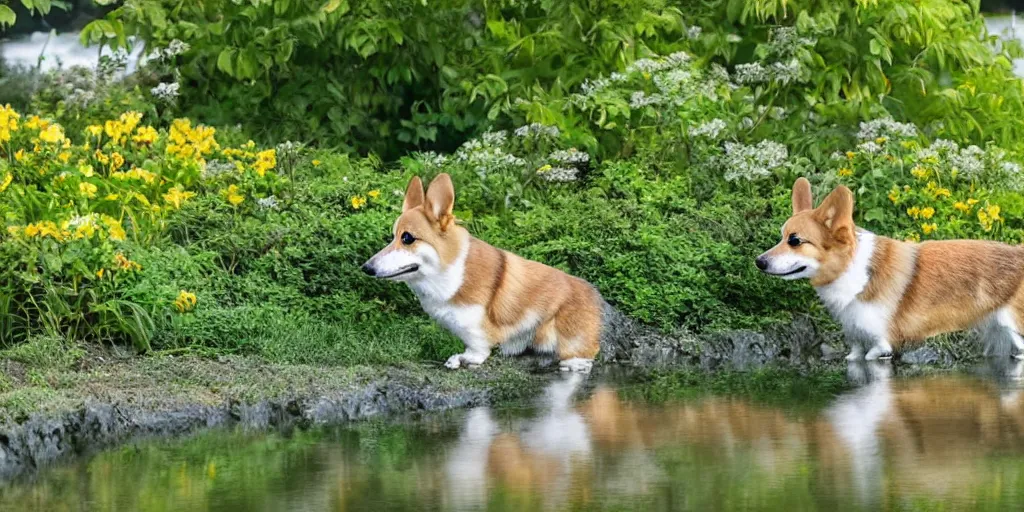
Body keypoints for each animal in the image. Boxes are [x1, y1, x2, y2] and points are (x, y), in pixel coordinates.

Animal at [362, 174, 598, 370]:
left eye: (407, 238)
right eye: (393, 236)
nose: (366, 268)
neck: (449, 269)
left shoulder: (476, 329)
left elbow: (478, 349)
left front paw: (466, 359)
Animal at [757, 178, 1024, 362]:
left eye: (795, 240)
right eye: (781, 237)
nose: (759, 262)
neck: (853, 269)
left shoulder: (881, 348)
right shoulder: (856, 348)